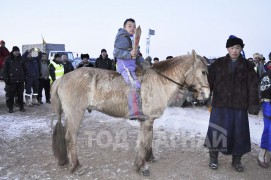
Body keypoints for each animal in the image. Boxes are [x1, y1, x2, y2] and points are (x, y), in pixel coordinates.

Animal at [52, 49, 211, 176]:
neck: (159, 82)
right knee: (70, 138)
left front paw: (149, 158)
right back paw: (76, 166)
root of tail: (62, 78)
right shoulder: (147, 120)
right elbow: (143, 142)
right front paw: (140, 166)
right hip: (75, 114)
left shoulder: (148, 120)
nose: (207, 94)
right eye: (203, 72)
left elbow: (148, 139)